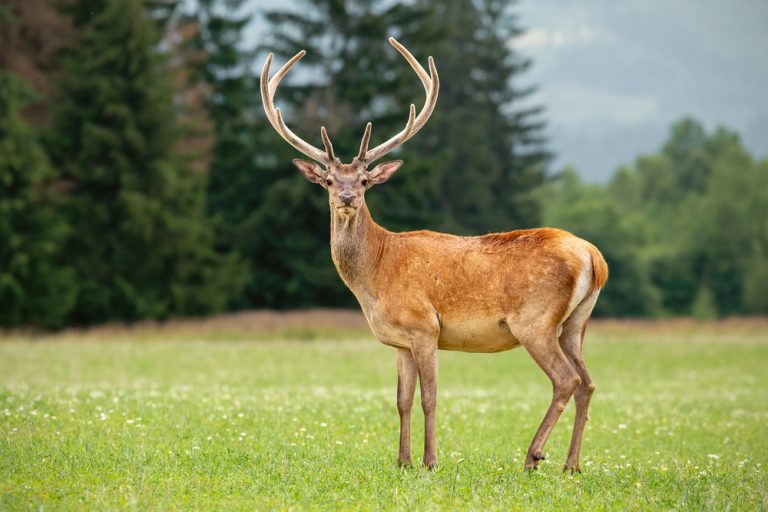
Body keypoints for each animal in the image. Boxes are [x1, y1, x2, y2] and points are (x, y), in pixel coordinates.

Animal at [260, 38, 608, 474]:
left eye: (364, 180)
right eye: (327, 180)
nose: (347, 197)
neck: (376, 274)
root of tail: (594, 257)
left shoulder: (424, 326)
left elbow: (430, 397)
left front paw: (429, 461)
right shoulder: (399, 341)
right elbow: (401, 400)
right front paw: (402, 460)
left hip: (536, 320)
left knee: (567, 380)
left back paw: (534, 456)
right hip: (575, 323)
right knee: (588, 382)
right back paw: (571, 465)